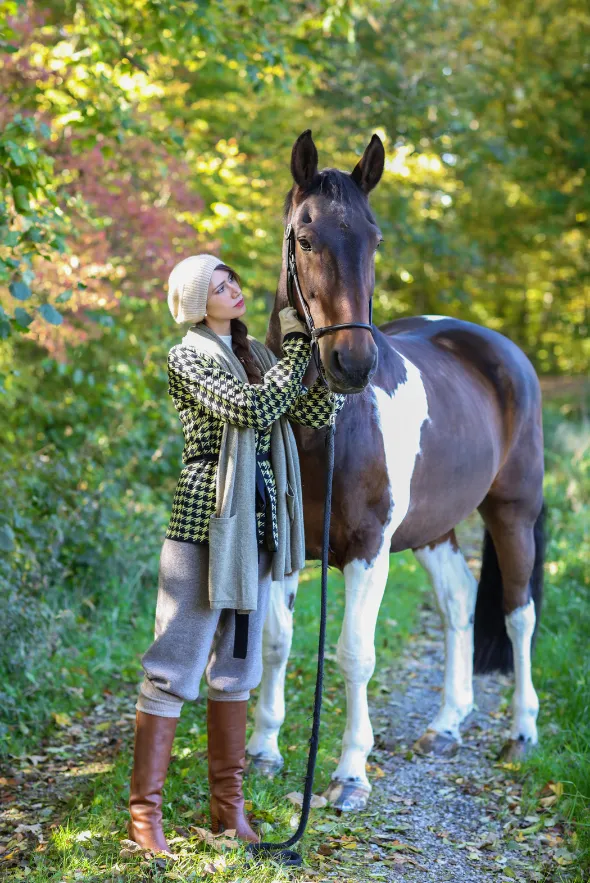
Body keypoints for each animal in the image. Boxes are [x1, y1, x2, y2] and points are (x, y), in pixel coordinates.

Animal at [245, 131, 544, 816]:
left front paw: (351, 774)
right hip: (435, 529)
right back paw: (446, 726)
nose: (352, 363)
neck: (325, 427)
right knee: (460, 601)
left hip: (512, 513)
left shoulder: (369, 551)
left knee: (518, 613)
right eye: (305, 237)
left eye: (374, 239)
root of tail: (501, 350)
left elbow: (354, 654)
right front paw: (264, 751)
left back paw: (521, 733)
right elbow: (276, 641)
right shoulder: (283, 548)